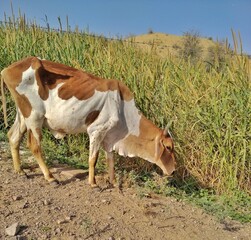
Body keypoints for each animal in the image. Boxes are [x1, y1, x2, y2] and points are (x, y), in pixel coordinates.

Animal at [0, 56, 176, 188]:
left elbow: (110, 158)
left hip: (23, 116)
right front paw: (93, 183)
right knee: (34, 146)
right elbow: (93, 158)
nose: (173, 171)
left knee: (13, 137)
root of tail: (8, 69)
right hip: (34, 117)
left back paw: (19, 170)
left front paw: (112, 182)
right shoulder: (96, 130)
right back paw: (50, 177)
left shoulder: (109, 136)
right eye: (168, 147)